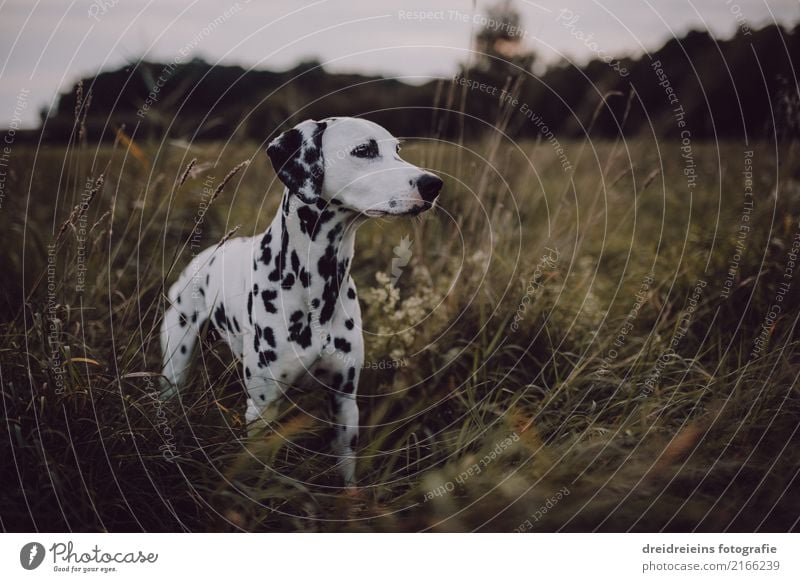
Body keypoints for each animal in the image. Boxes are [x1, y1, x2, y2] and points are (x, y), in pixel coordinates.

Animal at [158, 118, 444, 488]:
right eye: (363, 150)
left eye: (397, 149)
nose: (433, 184)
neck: (317, 288)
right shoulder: (262, 408)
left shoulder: (344, 401)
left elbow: (346, 473)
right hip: (175, 358)